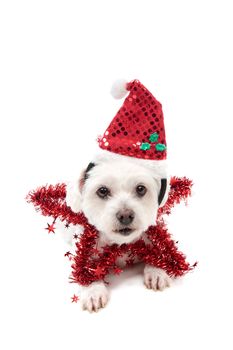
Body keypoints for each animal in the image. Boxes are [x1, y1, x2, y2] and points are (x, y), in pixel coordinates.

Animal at [65, 156, 171, 312]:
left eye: (141, 188)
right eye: (102, 190)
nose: (125, 215)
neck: (121, 244)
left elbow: (157, 252)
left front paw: (156, 271)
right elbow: (84, 271)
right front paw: (92, 291)